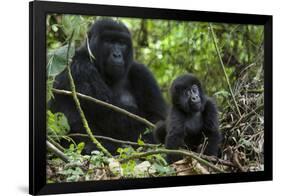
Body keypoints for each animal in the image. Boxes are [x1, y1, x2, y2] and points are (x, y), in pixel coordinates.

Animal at [50, 18, 166, 153]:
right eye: (108, 41)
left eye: (122, 43)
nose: (117, 55)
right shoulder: (77, 64)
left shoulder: (143, 73)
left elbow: (157, 118)